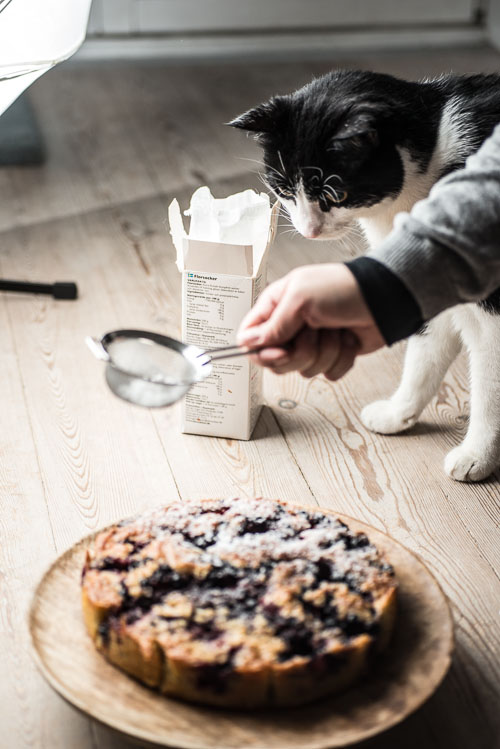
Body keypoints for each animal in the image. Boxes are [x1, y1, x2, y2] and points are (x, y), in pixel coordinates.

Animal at [231, 70, 500, 480]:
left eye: (336, 194)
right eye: (284, 189)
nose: (308, 230)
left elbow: (489, 390)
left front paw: (477, 456)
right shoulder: (426, 277)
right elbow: (423, 358)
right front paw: (397, 414)